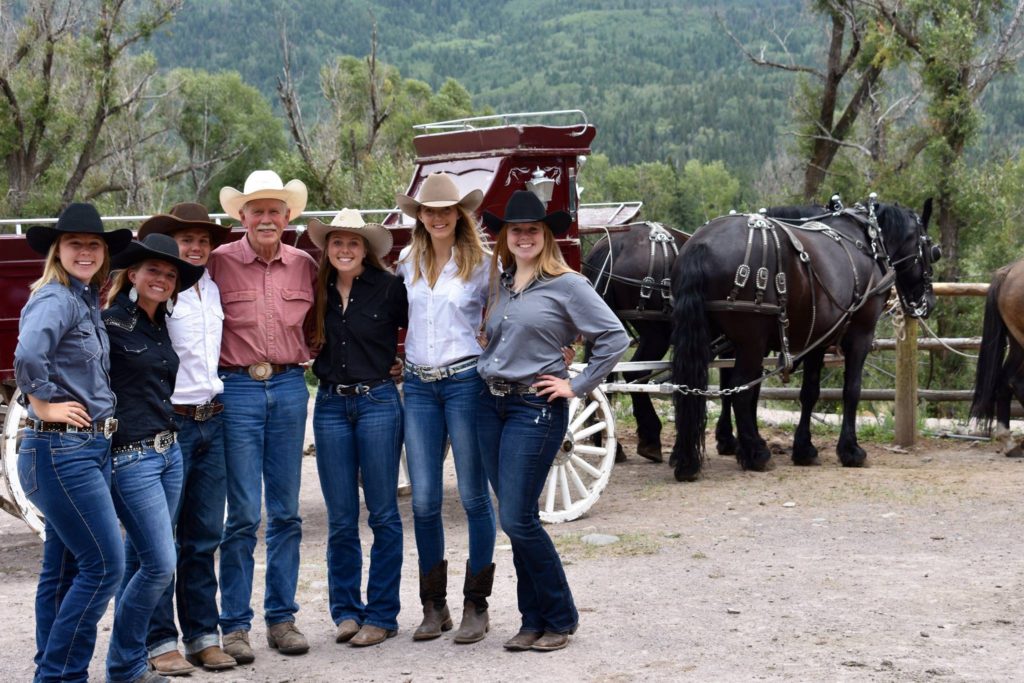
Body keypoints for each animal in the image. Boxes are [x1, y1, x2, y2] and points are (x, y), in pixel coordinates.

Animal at [667, 200, 937, 483]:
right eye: (933, 250)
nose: (928, 303)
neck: (869, 242)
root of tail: (700, 245)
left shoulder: (816, 339)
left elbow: (809, 392)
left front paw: (804, 448)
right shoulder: (860, 335)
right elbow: (851, 390)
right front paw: (851, 450)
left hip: (704, 336)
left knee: (689, 386)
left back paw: (686, 457)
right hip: (750, 342)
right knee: (739, 389)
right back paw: (755, 453)